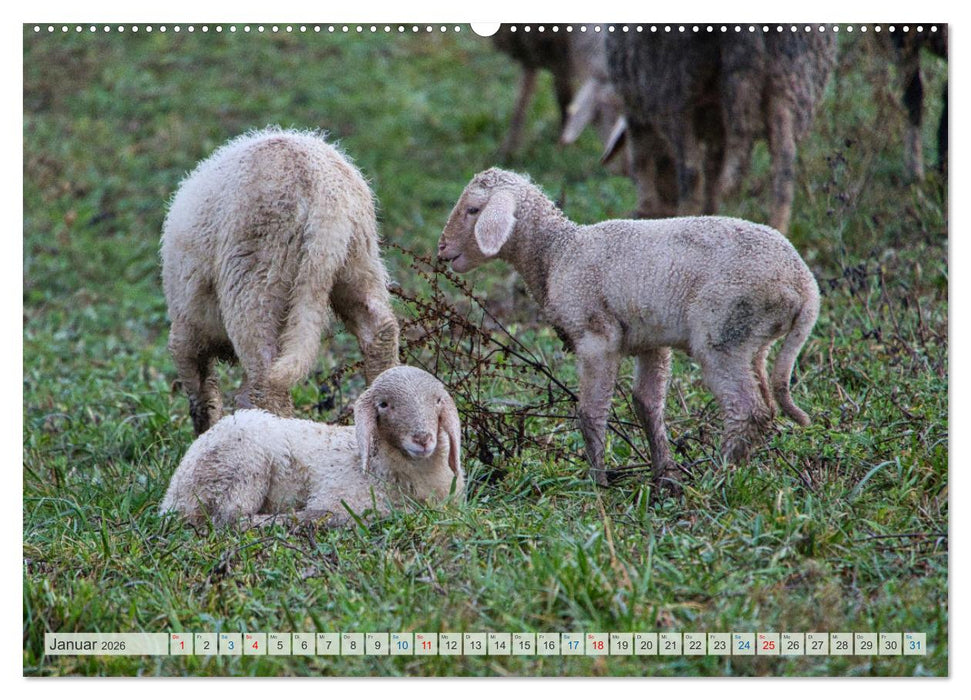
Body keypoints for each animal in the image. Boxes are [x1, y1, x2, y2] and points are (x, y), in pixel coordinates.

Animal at [159, 365, 463, 527]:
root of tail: (172, 496)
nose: (422, 438)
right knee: (228, 519)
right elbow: (334, 513)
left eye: (437, 401)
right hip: (243, 466)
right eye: (384, 404)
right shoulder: (339, 498)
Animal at [161, 126, 400, 435]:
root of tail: (321, 189)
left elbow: (201, 394)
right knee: (379, 330)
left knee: (267, 376)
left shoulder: (187, 329)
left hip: (256, 276)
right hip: (359, 259)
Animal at [437, 168, 819, 494]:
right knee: (766, 405)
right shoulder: (652, 342)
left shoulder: (596, 337)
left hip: (722, 330)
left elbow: (591, 412)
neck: (557, 253)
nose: (442, 249)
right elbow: (647, 405)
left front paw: (597, 482)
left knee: (747, 409)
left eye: (473, 209)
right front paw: (665, 475)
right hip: (751, 340)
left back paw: (716, 477)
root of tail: (804, 284)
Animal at [602, 31, 837, 234]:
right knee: (783, 172)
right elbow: (712, 179)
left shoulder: (637, 105)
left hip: (673, 84)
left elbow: (642, 162)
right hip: (792, 80)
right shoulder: (716, 128)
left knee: (691, 176)